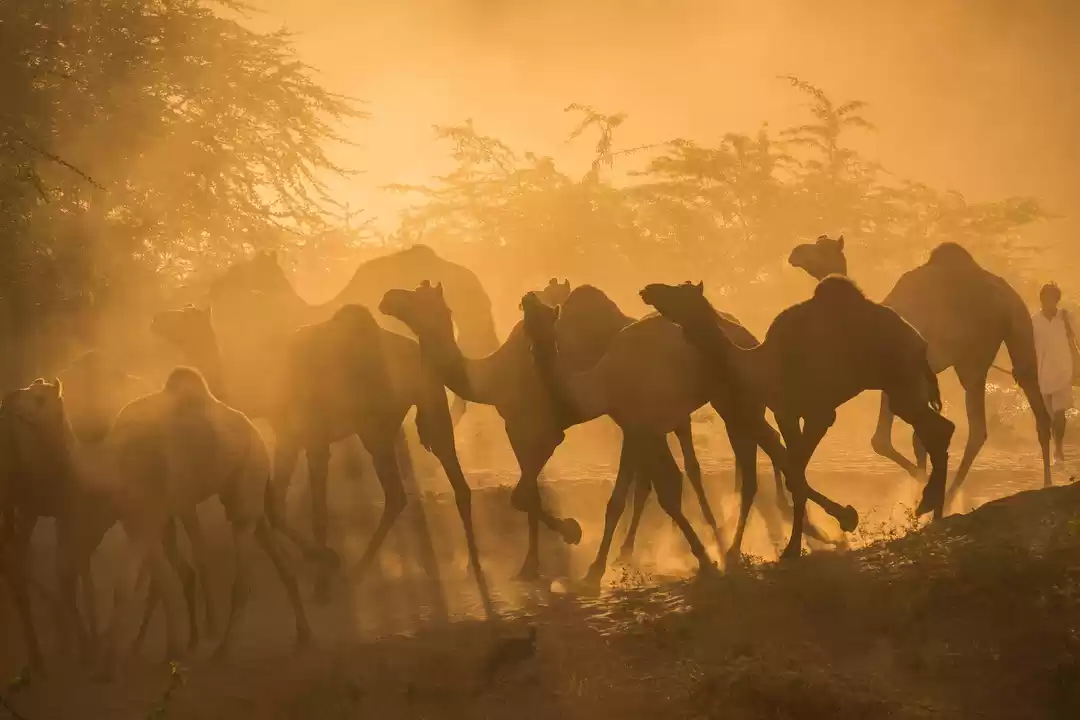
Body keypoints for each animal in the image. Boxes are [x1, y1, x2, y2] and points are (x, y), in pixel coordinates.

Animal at [641, 278, 957, 558]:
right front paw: (821, 533)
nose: (648, 289)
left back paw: (931, 508)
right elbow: (795, 474)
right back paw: (935, 512)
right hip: (900, 384)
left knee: (937, 429)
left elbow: (795, 474)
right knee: (939, 429)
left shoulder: (819, 413)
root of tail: (919, 339)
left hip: (900, 376)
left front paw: (801, 544)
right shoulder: (786, 413)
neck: (758, 367)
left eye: (678, 292)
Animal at [789, 235, 1052, 500]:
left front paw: (921, 482)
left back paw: (950, 497)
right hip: (1019, 329)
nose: (795, 252)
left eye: (823, 248)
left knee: (979, 429)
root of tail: (1009, 299)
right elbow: (919, 437)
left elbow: (881, 440)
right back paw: (1047, 483)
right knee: (1037, 405)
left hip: (972, 359)